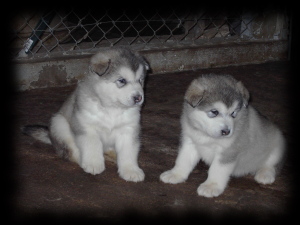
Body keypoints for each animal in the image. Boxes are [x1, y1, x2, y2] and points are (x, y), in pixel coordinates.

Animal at [22, 46, 149, 182]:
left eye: (140, 80)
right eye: (122, 80)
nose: (139, 98)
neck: (112, 108)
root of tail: (50, 137)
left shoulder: (128, 129)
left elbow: (128, 151)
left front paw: (131, 170)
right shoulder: (87, 126)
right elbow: (92, 145)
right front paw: (93, 164)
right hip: (59, 124)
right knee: (72, 152)